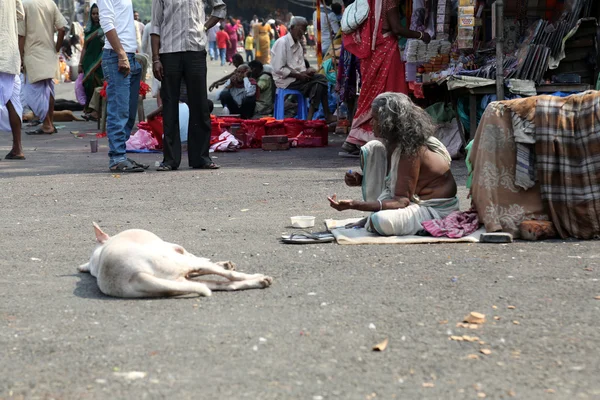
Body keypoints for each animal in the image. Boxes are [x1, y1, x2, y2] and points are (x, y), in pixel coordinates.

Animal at [78, 223, 274, 298]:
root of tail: (134, 275)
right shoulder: (177, 249)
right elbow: (195, 255)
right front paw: (223, 263)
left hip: (177, 283)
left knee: (226, 285)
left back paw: (259, 282)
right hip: (175, 262)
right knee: (228, 276)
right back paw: (257, 277)